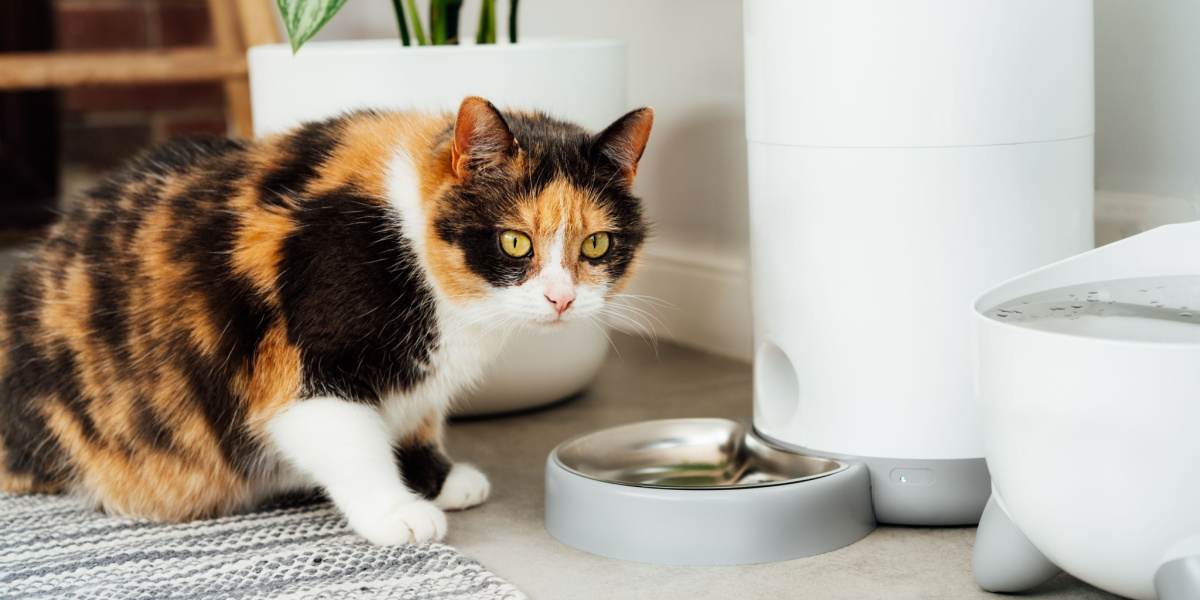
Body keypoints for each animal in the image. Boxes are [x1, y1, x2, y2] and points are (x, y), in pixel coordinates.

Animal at [0, 97, 652, 544]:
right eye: (515, 242)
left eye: (596, 245)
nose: (561, 298)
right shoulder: (302, 364)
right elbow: (353, 442)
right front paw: (398, 512)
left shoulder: (418, 385)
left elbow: (418, 418)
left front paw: (438, 479)